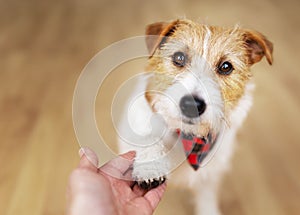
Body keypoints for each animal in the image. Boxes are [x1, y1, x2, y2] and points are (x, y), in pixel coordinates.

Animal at [117, 18, 272, 215]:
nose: (191, 106)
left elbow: (206, 199)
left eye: (226, 67)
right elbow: (146, 136)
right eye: (179, 57)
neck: (186, 136)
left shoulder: (210, 176)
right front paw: (150, 166)